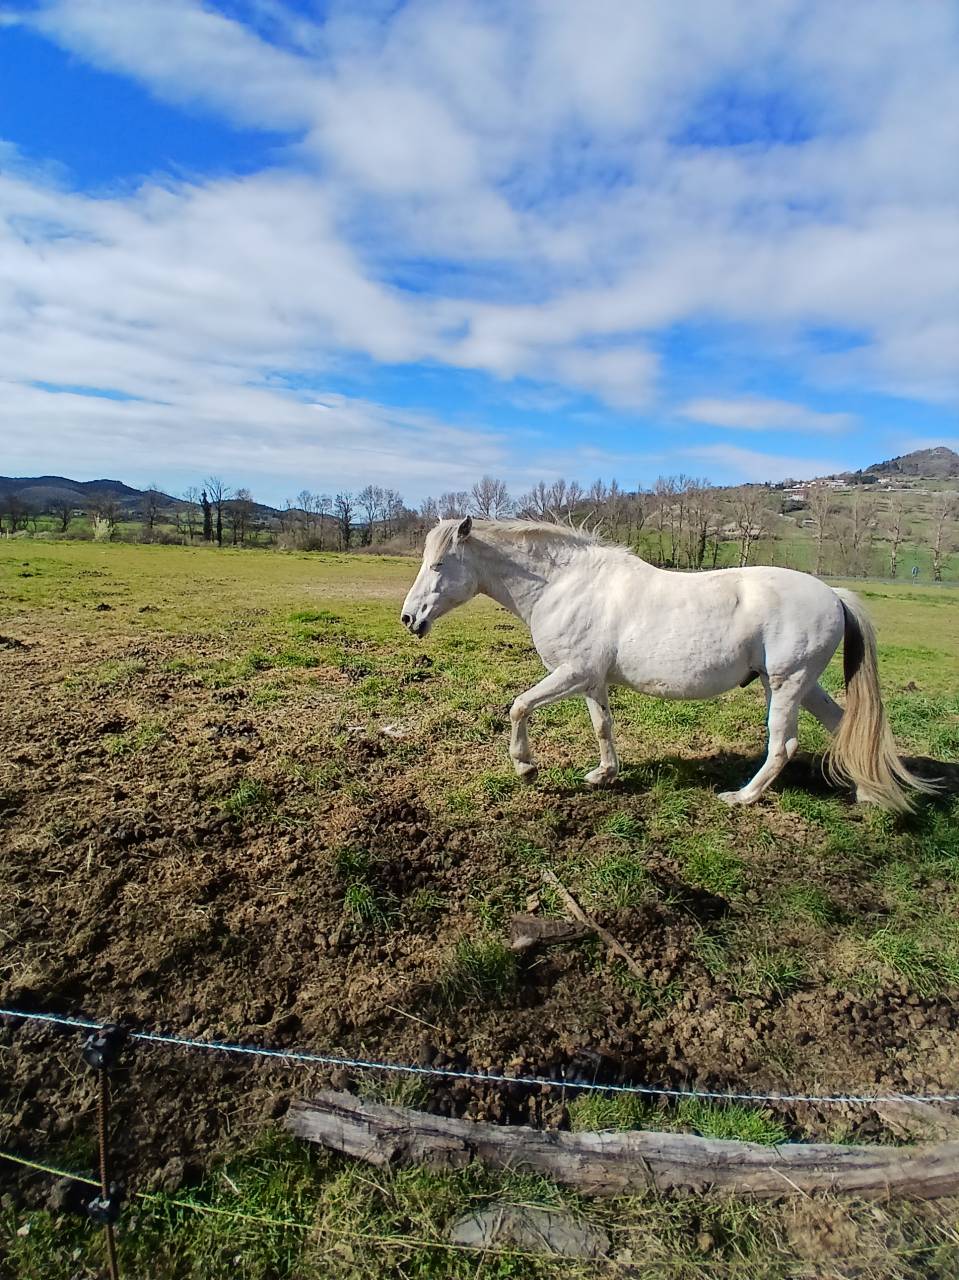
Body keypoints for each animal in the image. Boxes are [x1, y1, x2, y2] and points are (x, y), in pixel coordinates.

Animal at [401, 517, 935, 812]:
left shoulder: (571, 674)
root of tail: (834, 594)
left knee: (783, 745)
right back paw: (867, 795)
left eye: (438, 565)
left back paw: (742, 798)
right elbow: (603, 726)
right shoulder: (591, 681)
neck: (564, 584)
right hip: (800, 684)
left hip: (785, 685)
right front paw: (603, 775)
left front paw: (526, 766)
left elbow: (518, 707)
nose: (409, 618)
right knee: (844, 725)